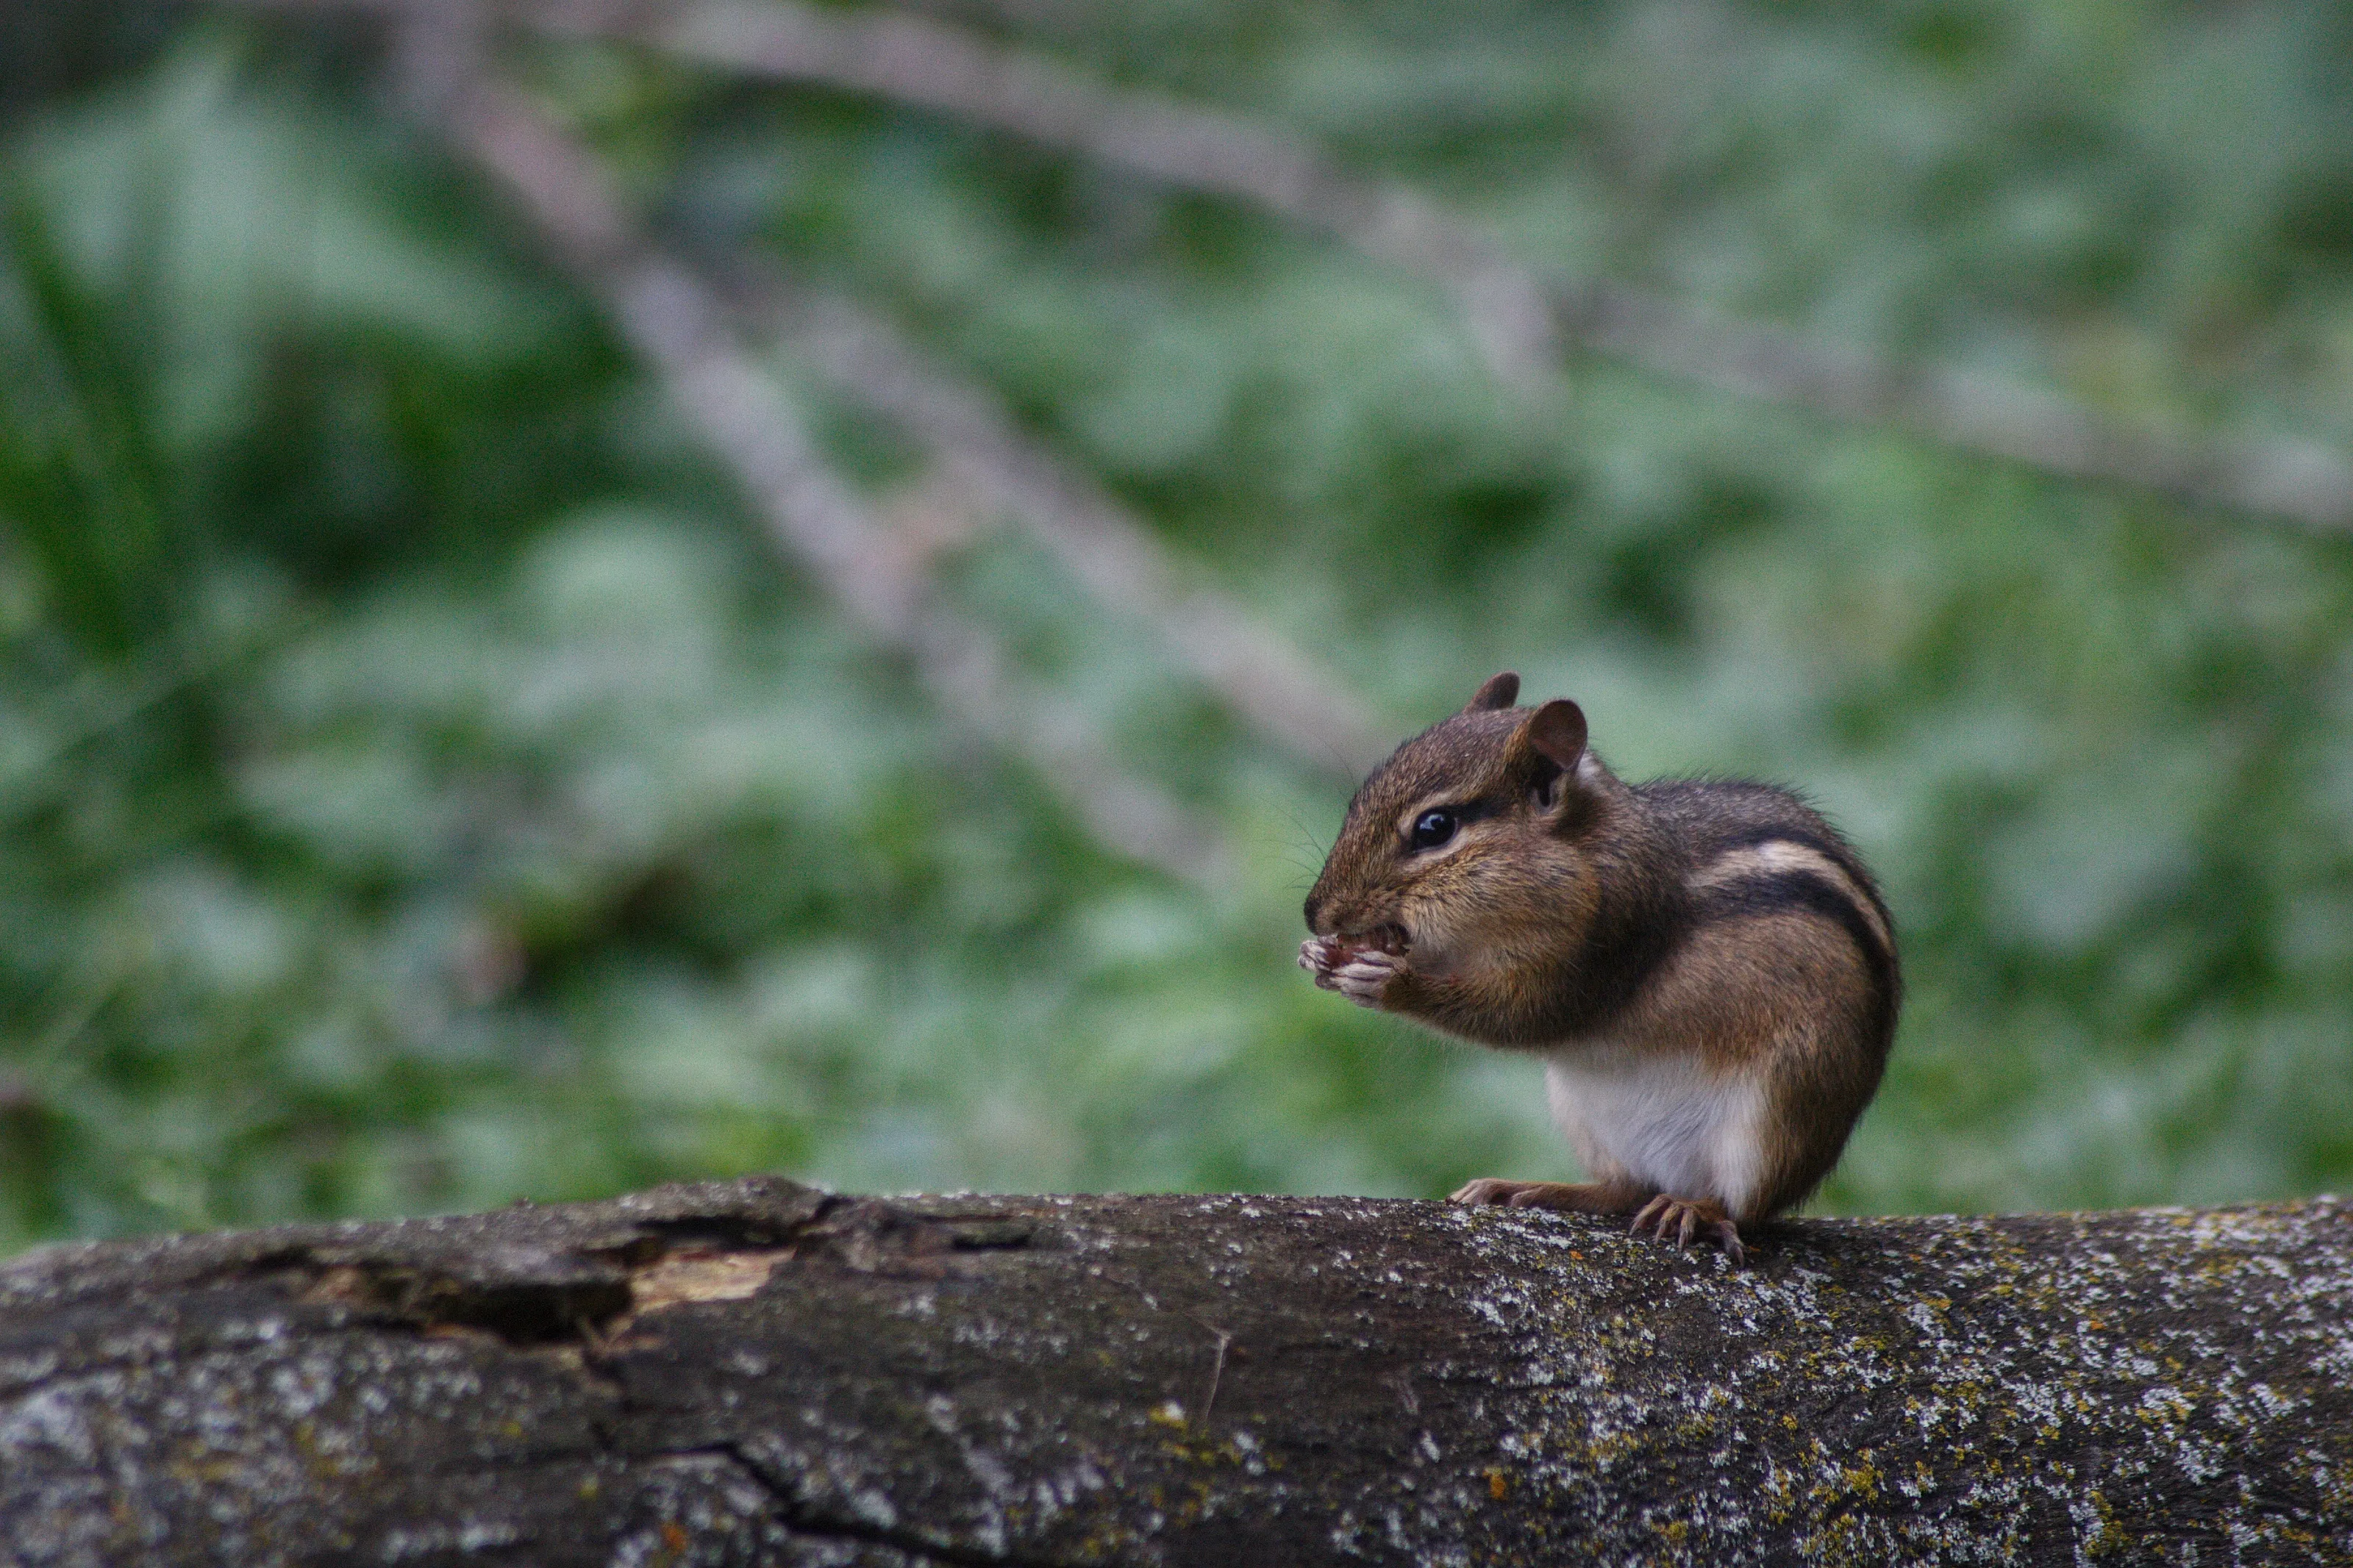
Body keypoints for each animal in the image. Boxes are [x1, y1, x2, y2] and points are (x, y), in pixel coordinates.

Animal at [1298, 672, 1898, 1263]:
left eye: (1435, 828)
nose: (1314, 911)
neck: (1579, 855)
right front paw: (1322, 954)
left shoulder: (1603, 940)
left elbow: (1524, 1017)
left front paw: (1389, 982)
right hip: (1582, 1112)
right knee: (1624, 1189)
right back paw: (1527, 1188)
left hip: (1780, 1111)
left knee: (1744, 1207)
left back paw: (1695, 1209)